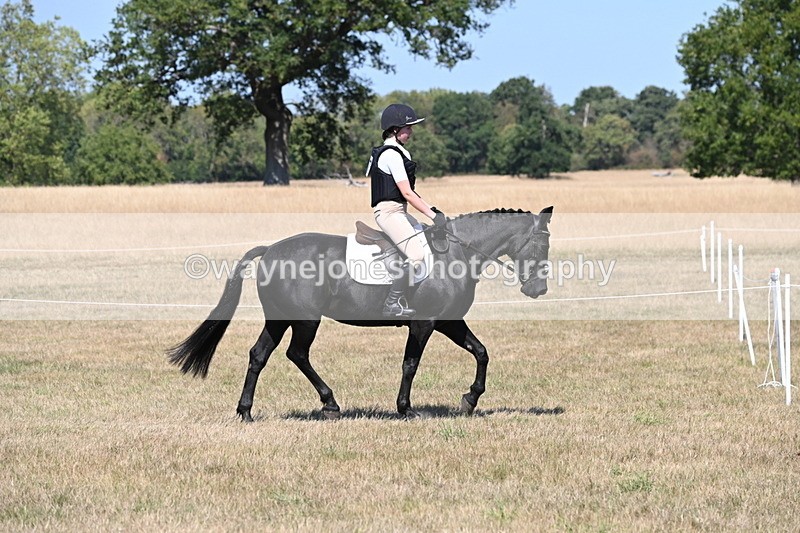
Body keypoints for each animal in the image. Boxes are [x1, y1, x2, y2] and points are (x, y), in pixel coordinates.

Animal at [168, 206, 553, 420]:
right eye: (542, 245)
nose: (538, 290)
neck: (457, 254)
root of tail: (272, 249)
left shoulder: (449, 322)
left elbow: (481, 352)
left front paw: (470, 399)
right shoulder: (424, 322)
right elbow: (410, 364)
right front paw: (406, 409)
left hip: (279, 318)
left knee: (259, 355)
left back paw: (246, 412)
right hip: (305, 320)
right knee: (297, 354)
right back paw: (330, 404)